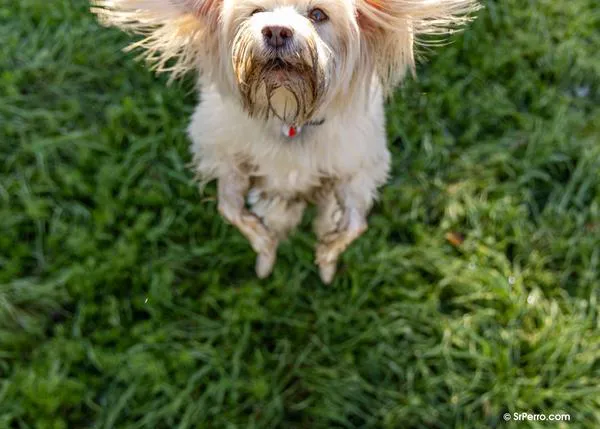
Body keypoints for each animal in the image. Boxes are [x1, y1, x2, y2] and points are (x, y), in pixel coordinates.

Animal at [91, 0, 480, 284]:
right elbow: (232, 211)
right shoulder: (227, 160)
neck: (287, 116)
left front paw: (326, 259)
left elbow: (354, 226)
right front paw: (265, 250)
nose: (277, 31)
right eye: (254, 12)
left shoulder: (355, 169)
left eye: (318, 14)